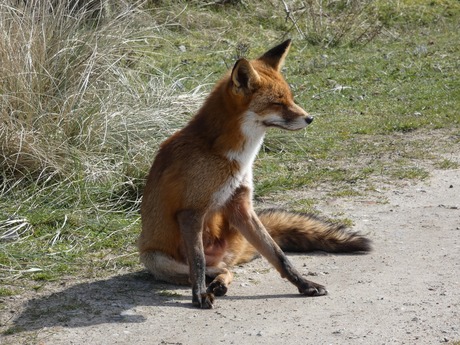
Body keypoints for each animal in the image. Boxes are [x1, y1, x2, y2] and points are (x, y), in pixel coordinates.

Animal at [138, 39, 372, 308]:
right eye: (278, 103)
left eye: (290, 98)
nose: (310, 118)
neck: (232, 157)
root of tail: (228, 250)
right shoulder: (191, 211)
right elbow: (197, 263)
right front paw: (199, 296)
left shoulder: (241, 206)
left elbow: (279, 255)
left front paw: (304, 284)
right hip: (158, 260)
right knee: (203, 271)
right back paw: (210, 286)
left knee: (227, 270)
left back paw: (220, 285)